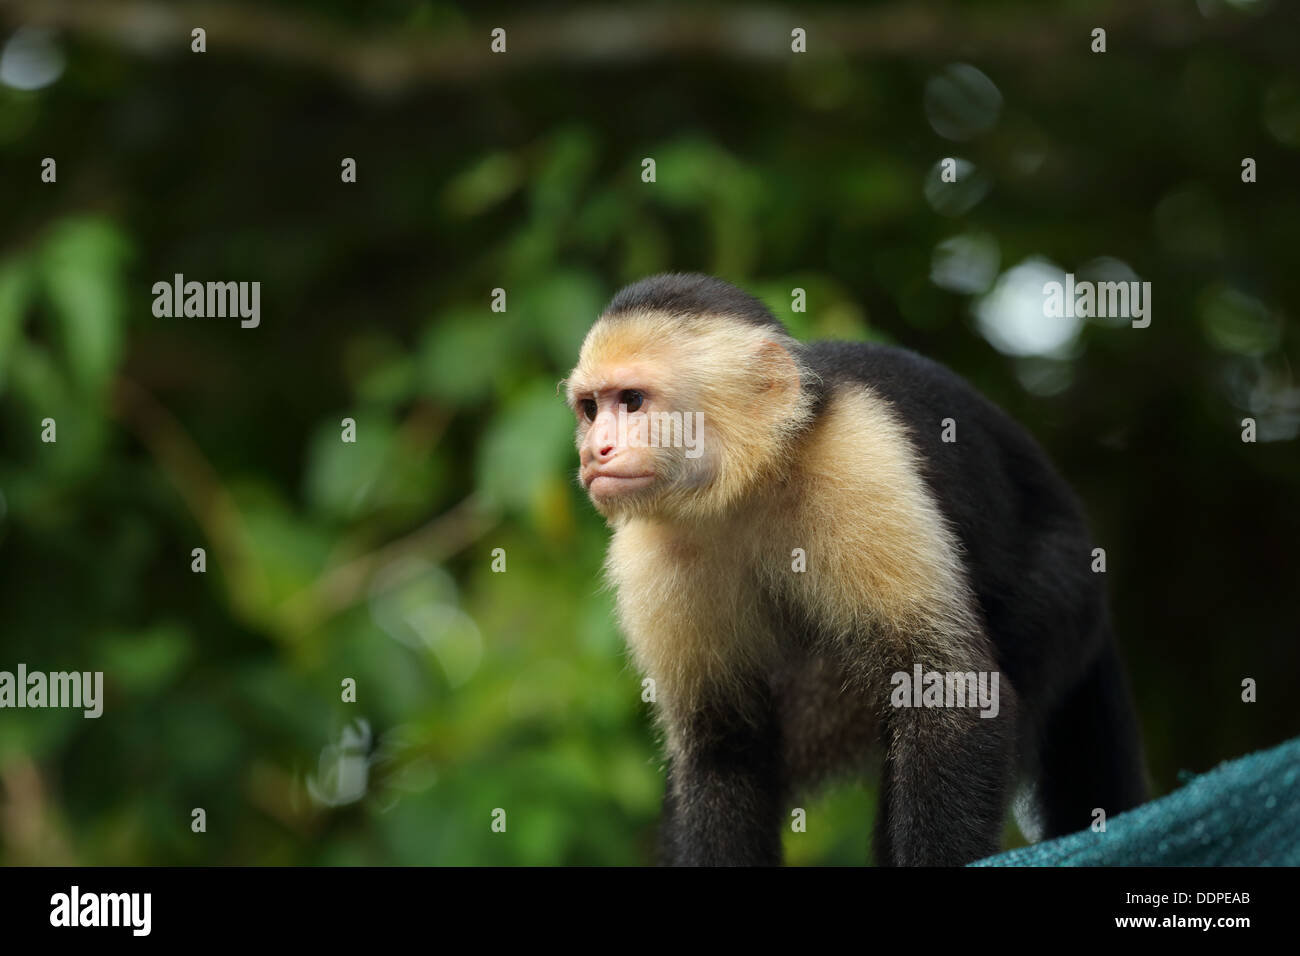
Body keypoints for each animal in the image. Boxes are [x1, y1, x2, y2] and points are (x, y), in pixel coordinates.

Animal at [564, 270, 1144, 868]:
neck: (747, 486)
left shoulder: (857, 459)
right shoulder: (649, 549)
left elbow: (951, 691)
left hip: (1058, 589)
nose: (595, 451)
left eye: (632, 401)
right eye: (590, 409)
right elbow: (722, 749)